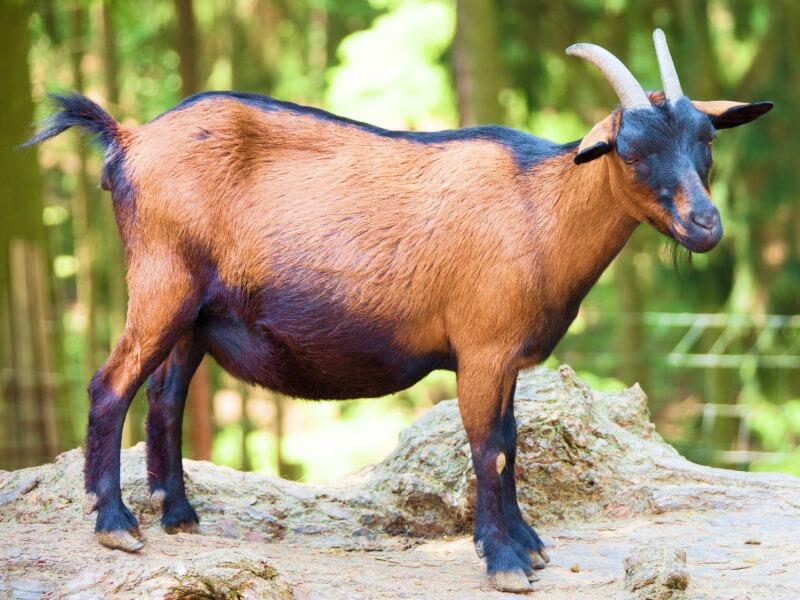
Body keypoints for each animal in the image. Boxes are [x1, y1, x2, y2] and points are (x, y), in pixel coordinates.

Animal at [25, 30, 771, 592]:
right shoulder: (484, 347)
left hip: (195, 313)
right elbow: (490, 447)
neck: (541, 213)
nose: (707, 226)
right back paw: (116, 525)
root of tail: (128, 140)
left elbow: (511, 440)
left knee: (166, 396)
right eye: (632, 149)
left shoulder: (502, 354)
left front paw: (527, 544)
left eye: (706, 140)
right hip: (161, 282)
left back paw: (178, 513)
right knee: (111, 386)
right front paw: (505, 561)